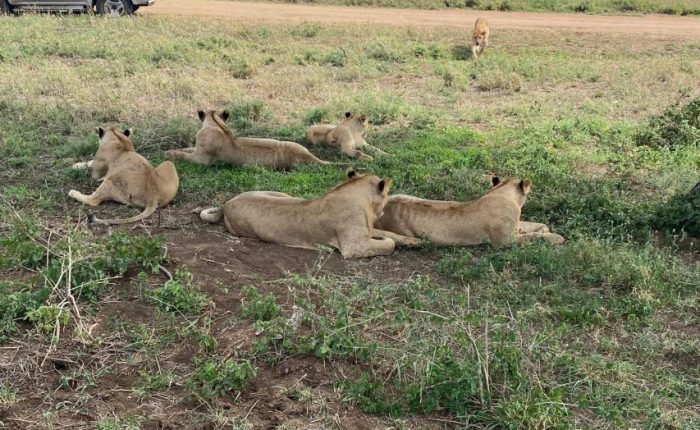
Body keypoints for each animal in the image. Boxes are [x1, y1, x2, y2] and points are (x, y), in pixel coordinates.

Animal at [167, 110, 330, 169]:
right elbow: (187, 149)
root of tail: (308, 156)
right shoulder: (197, 149)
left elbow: (184, 155)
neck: (215, 123)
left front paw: (169, 153)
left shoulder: (202, 160)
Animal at [200, 170, 424, 258]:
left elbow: (392, 235)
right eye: (387, 195)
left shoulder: (366, 231)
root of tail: (227, 203)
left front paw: (415, 241)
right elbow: (389, 243)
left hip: (283, 194)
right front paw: (386, 240)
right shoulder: (354, 246)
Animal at [374, 176, 568, 249]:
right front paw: (556, 237)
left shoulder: (515, 227)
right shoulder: (504, 241)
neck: (501, 192)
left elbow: (532, 225)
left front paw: (544, 229)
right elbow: (531, 236)